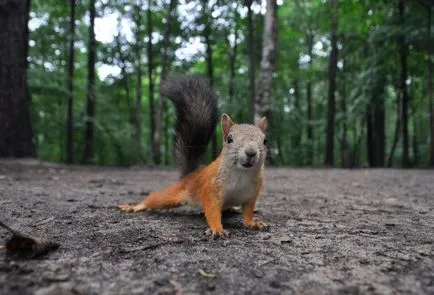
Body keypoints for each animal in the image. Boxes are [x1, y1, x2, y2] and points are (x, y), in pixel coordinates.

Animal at [118, 75, 268, 238]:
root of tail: (190, 175)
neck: (242, 173)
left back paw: (233, 209)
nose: (251, 152)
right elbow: (212, 211)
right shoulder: (211, 190)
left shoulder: (251, 195)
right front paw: (217, 229)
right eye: (229, 139)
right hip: (175, 193)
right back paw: (136, 206)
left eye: (265, 140)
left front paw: (253, 223)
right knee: (156, 199)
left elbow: (247, 212)